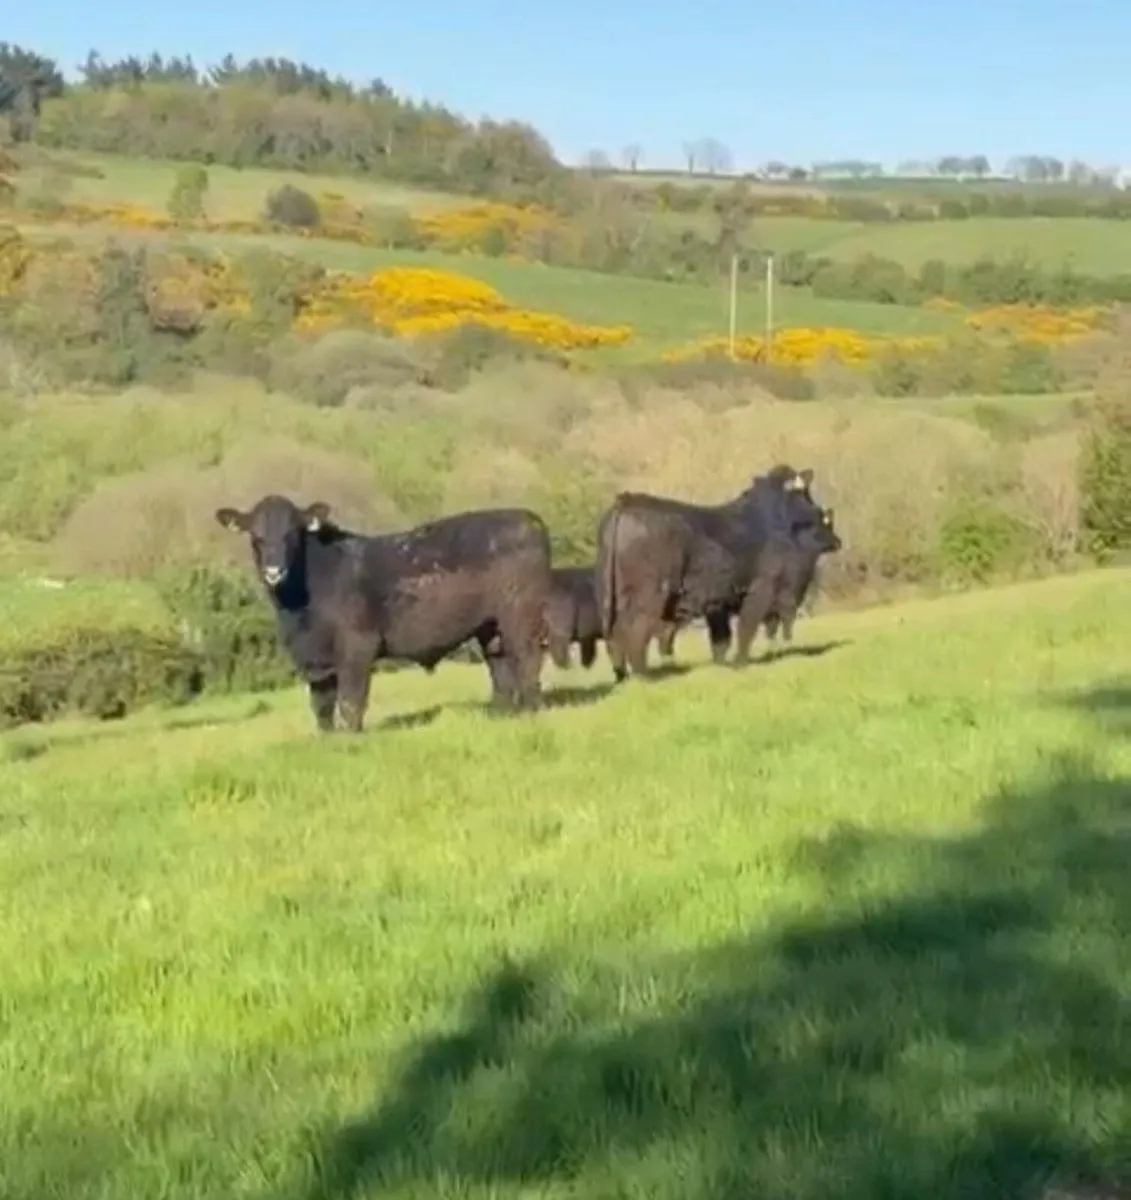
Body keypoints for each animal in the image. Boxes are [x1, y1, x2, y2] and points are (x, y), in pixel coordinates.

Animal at [214, 494, 553, 733]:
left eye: (293, 534)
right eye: (256, 537)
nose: (274, 570)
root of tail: (528, 518)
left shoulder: (357, 647)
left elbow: (350, 701)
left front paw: (349, 737)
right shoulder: (312, 659)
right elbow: (321, 704)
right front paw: (327, 739)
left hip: (520, 616)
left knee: (527, 659)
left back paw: (531, 710)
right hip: (490, 626)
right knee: (500, 666)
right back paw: (501, 714)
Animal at [594, 465, 837, 681]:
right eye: (806, 495)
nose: (837, 541)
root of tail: (626, 501)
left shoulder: (718, 602)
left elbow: (721, 638)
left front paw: (722, 665)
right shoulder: (762, 590)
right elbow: (746, 628)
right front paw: (740, 663)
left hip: (613, 597)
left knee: (614, 636)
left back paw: (624, 677)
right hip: (649, 596)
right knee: (634, 631)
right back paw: (644, 676)